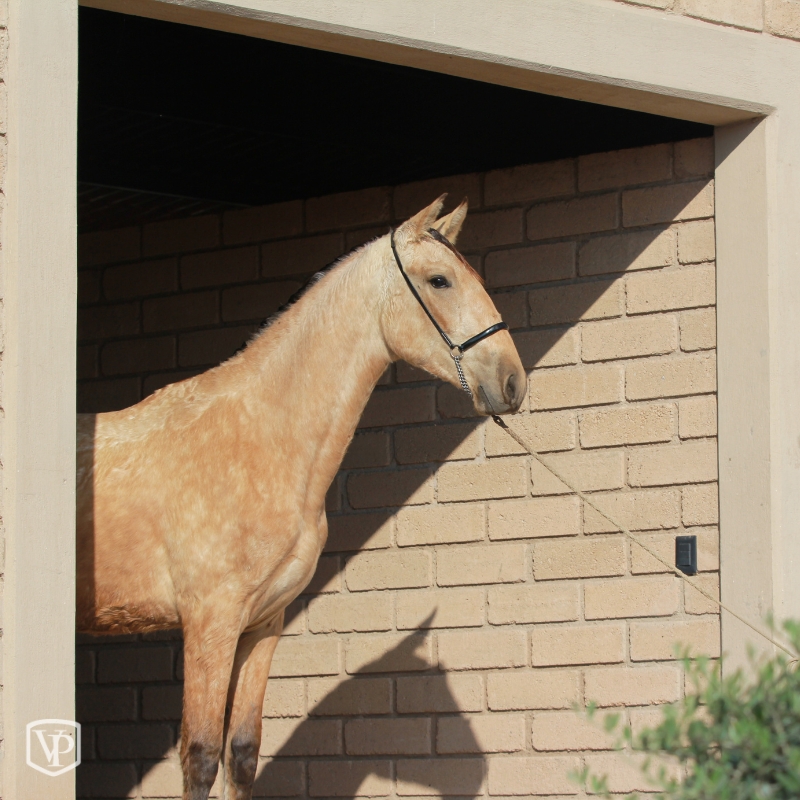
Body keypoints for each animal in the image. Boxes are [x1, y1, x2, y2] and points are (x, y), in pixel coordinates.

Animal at [76, 195, 525, 800]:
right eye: (440, 280)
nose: (512, 382)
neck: (263, 434)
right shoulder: (210, 623)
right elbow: (201, 757)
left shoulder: (264, 623)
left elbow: (241, 752)